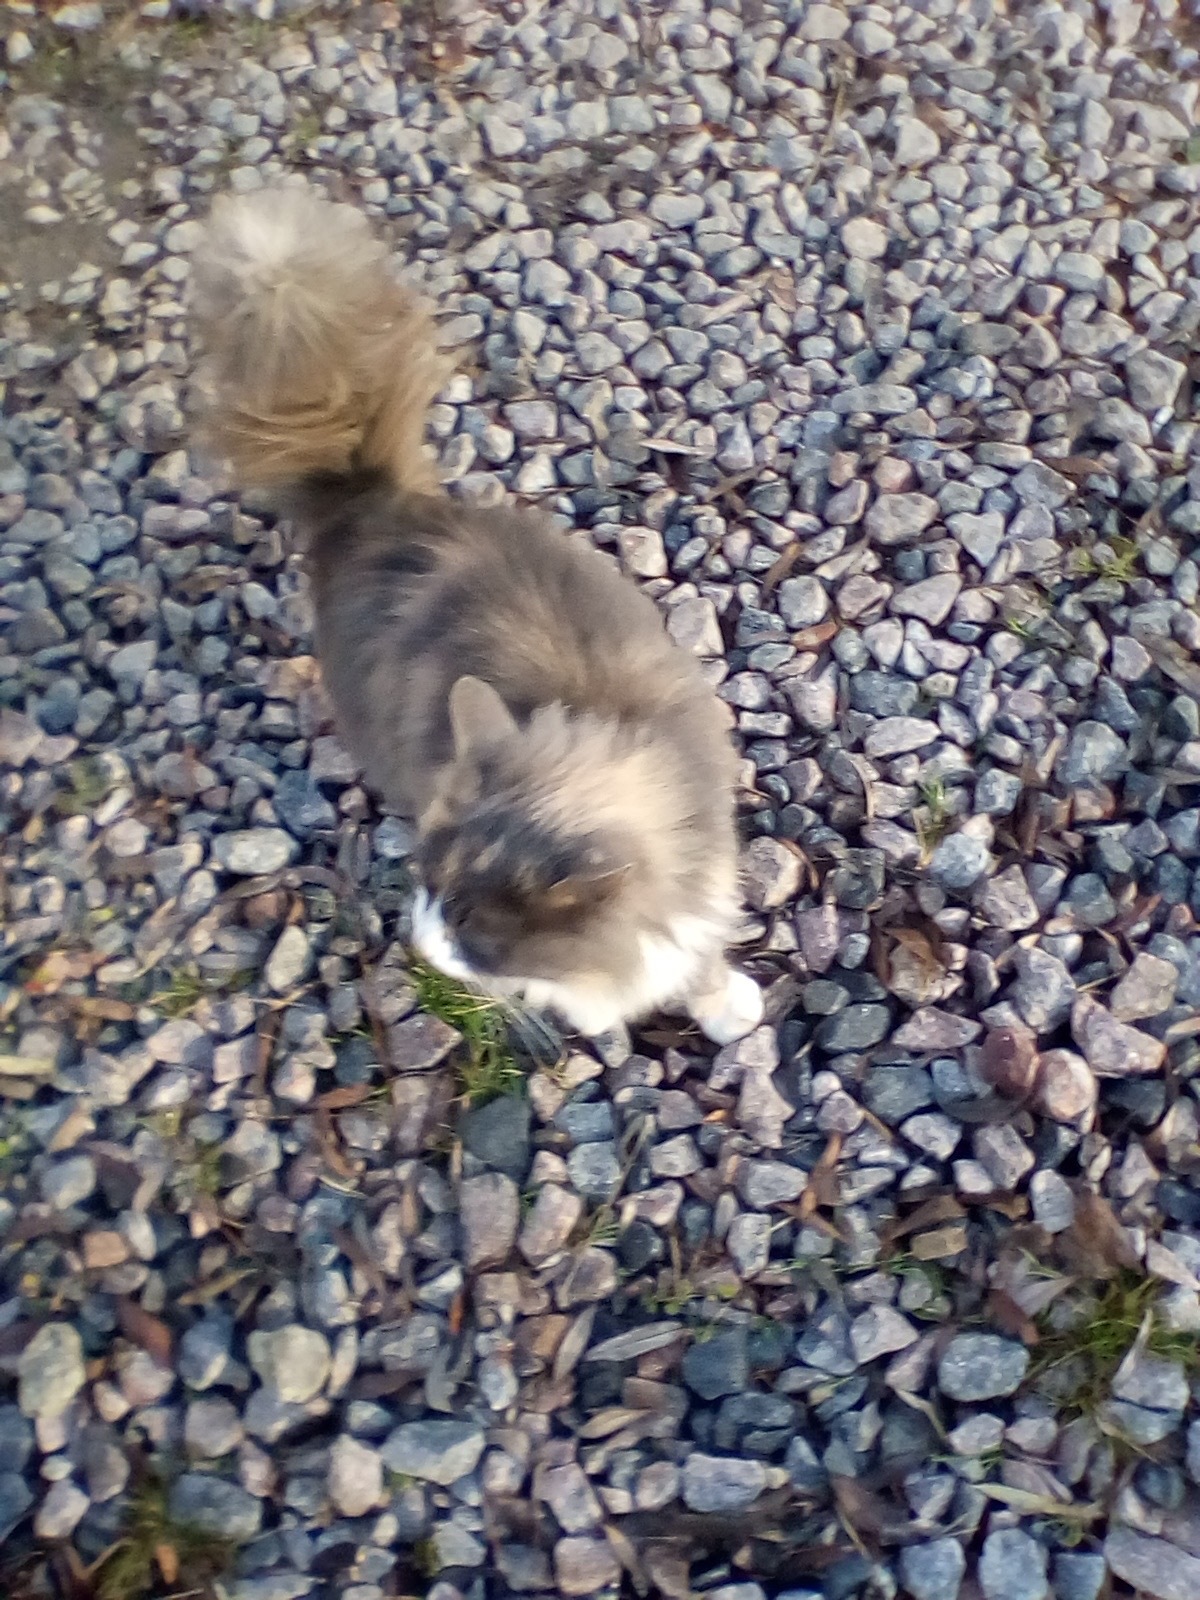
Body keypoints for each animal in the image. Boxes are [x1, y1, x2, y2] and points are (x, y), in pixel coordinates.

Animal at [192, 178, 764, 1049]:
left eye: (472, 931)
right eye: (427, 887)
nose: (421, 944)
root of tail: (379, 507)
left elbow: (696, 956)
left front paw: (724, 1005)